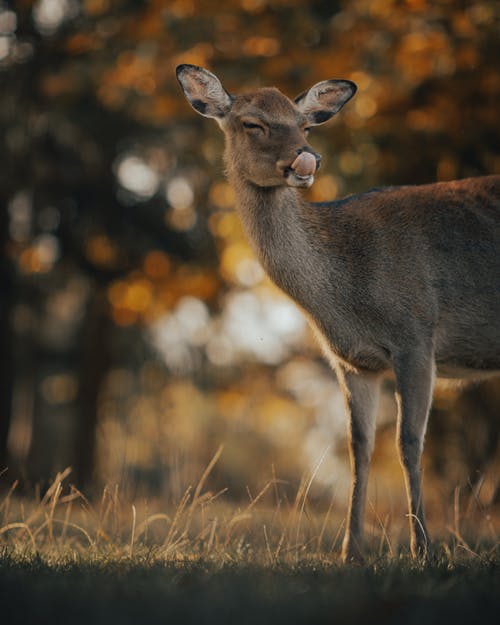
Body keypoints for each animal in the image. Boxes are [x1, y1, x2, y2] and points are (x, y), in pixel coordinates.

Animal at [178, 63, 500, 560]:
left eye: (304, 124)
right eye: (252, 123)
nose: (306, 158)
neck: (345, 299)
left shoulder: (416, 332)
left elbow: (408, 442)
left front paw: (423, 548)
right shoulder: (352, 361)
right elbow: (359, 447)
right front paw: (351, 550)